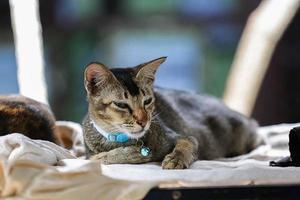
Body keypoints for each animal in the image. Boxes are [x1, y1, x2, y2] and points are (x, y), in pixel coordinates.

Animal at [82, 56, 262, 169]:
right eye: (121, 105)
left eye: (147, 101)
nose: (143, 121)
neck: (120, 139)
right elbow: (101, 157)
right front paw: (110, 156)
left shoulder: (185, 137)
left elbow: (185, 145)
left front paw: (175, 159)